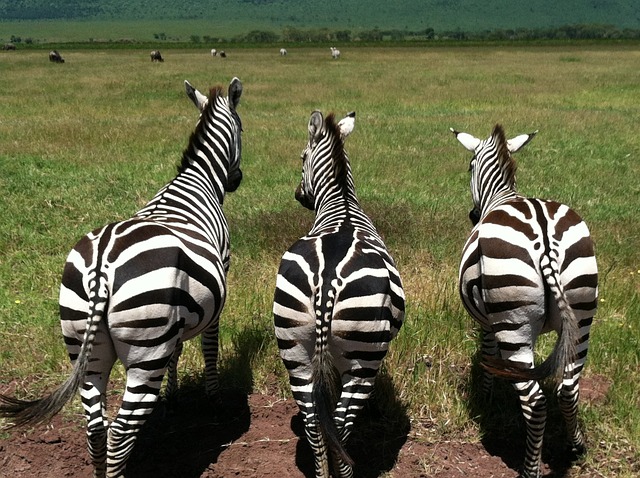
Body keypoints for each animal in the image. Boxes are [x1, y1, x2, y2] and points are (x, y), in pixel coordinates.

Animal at [0, 76, 245, 476]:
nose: (236, 179)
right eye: (242, 129)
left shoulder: (177, 316)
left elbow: (177, 351)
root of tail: (102, 266)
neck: (198, 181)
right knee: (120, 431)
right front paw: (213, 400)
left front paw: (173, 399)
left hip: (85, 347)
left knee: (96, 427)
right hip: (145, 351)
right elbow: (210, 347)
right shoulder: (218, 284)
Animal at [274, 111, 404, 474]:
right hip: (364, 357)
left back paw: (322, 470)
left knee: (314, 420)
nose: (298, 195)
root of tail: (327, 276)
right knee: (341, 422)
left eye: (301, 157)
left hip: (294, 345)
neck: (342, 203)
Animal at [452, 124, 596, 478]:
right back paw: (576, 446)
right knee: (568, 388)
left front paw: (486, 398)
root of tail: (545, 239)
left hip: (512, 323)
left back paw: (530, 469)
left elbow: (488, 355)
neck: (501, 196)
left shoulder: (487, 322)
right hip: (582, 315)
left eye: (469, 166)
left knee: (534, 401)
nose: (473, 215)